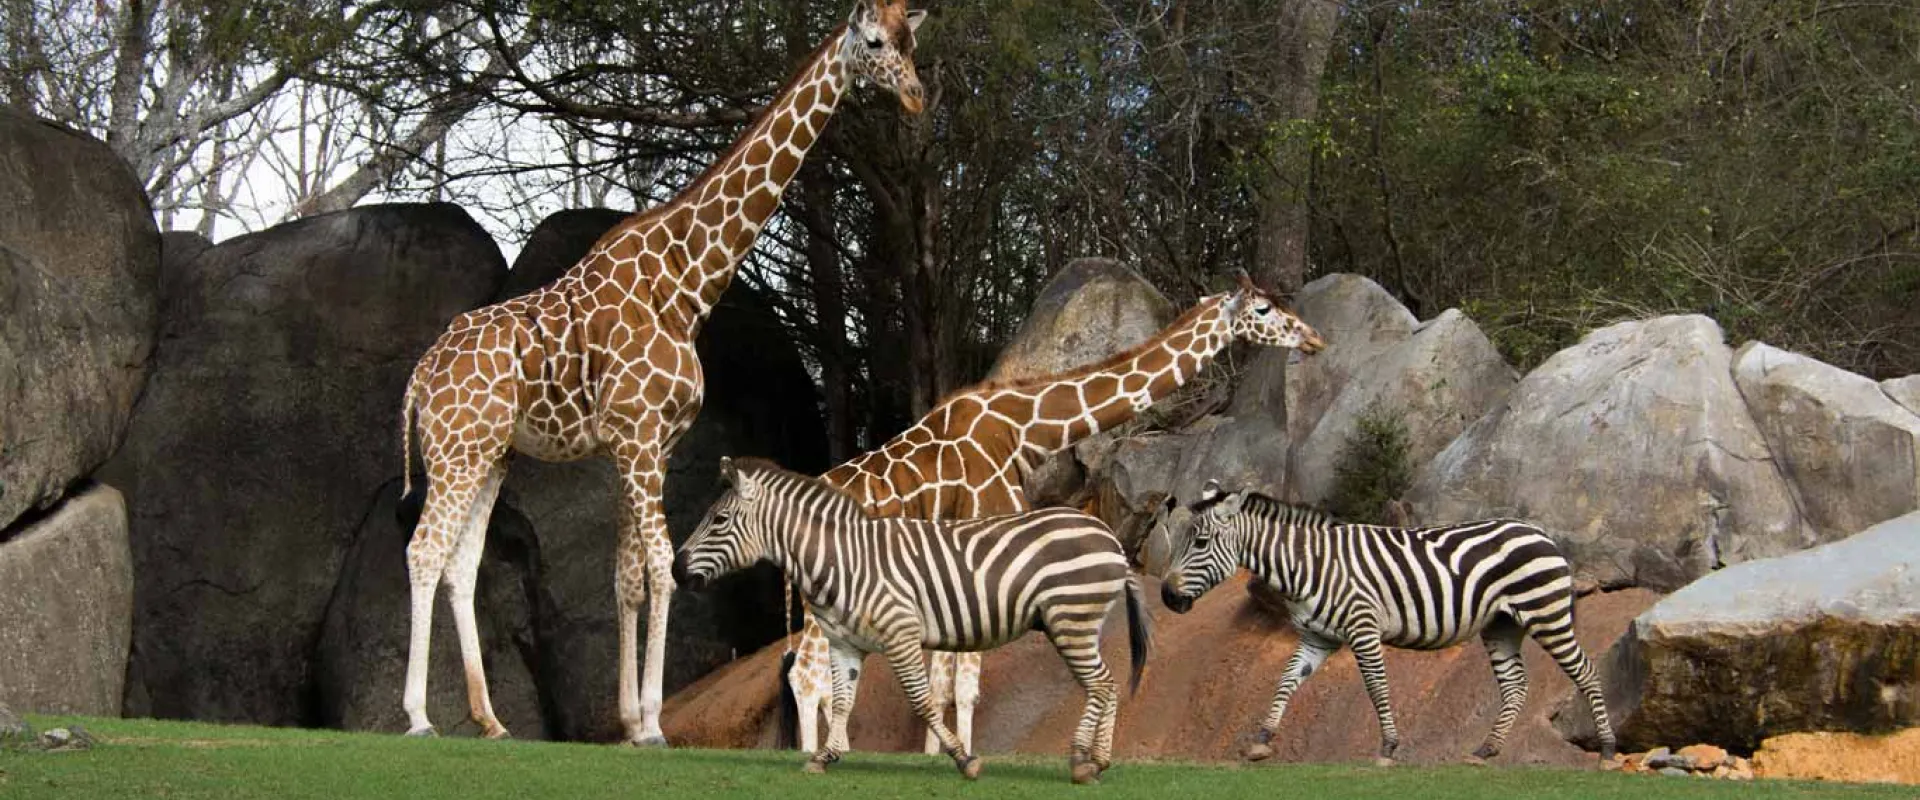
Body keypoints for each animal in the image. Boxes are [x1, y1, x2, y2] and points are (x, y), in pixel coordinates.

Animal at [396, 0, 927, 745]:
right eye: (875, 43)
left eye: (913, 44)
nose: (915, 97)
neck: (685, 284)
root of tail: (420, 377)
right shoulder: (640, 437)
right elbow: (662, 569)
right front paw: (650, 724)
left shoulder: (643, 443)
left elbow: (627, 578)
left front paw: (627, 719)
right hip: (455, 448)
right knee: (422, 551)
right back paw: (418, 717)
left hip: (489, 455)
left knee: (458, 564)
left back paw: (491, 719)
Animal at [671, 457, 1152, 784]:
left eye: (718, 520)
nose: (676, 571)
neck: (842, 561)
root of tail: (1108, 535)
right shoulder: (845, 643)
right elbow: (843, 702)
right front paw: (825, 758)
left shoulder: (900, 634)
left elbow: (921, 701)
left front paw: (964, 759)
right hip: (1076, 623)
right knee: (1107, 685)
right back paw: (1097, 761)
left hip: (1072, 620)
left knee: (1101, 685)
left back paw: (1081, 761)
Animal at [788, 271, 1328, 760]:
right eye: (1263, 310)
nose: (1314, 337)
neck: (1025, 430)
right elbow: (963, 679)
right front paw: (960, 756)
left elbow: (945, 675)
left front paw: (938, 754)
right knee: (806, 671)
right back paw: (812, 756)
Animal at [1158, 481, 1615, 766]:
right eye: (1178, 542)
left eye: (1200, 542)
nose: (1166, 597)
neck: (1308, 564)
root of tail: (1539, 531)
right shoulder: (1316, 638)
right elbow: (1286, 681)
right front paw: (1261, 740)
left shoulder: (1363, 628)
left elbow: (1377, 687)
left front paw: (1389, 747)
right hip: (1501, 625)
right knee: (1515, 686)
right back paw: (1485, 750)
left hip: (1546, 614)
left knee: (1588, 672)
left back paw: (1608, 750)